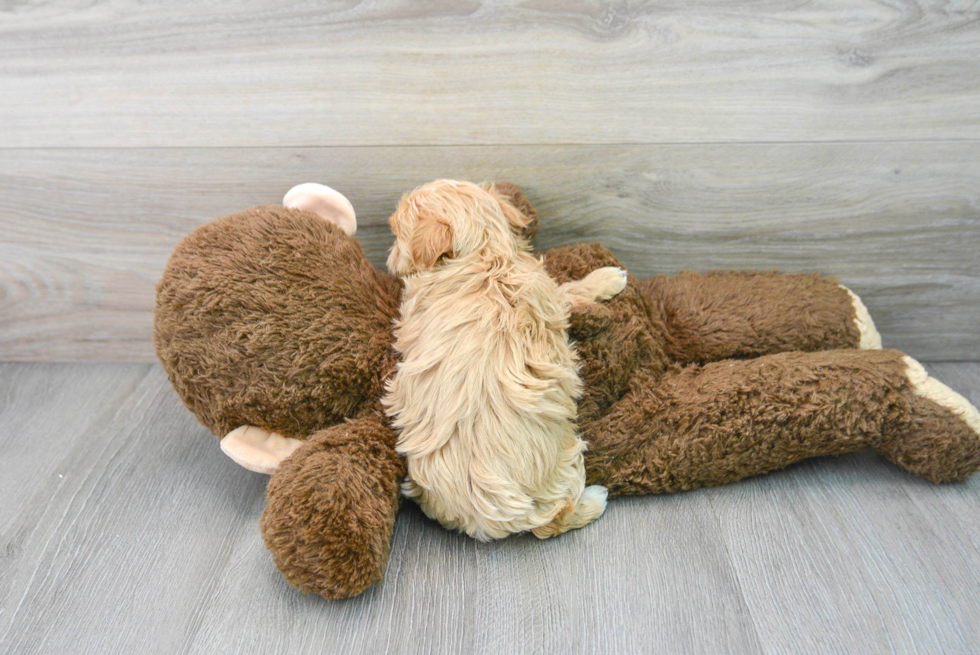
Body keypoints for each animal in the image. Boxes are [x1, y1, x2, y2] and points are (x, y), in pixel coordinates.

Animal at [382, 178, 628, 540]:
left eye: (398, 234)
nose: (390, 260)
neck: (484, 255)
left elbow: (570, 289)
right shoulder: (550, 298)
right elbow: (570, 291)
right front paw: (607, 277)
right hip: (567, 463)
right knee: (561, 517)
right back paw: (596, 498)